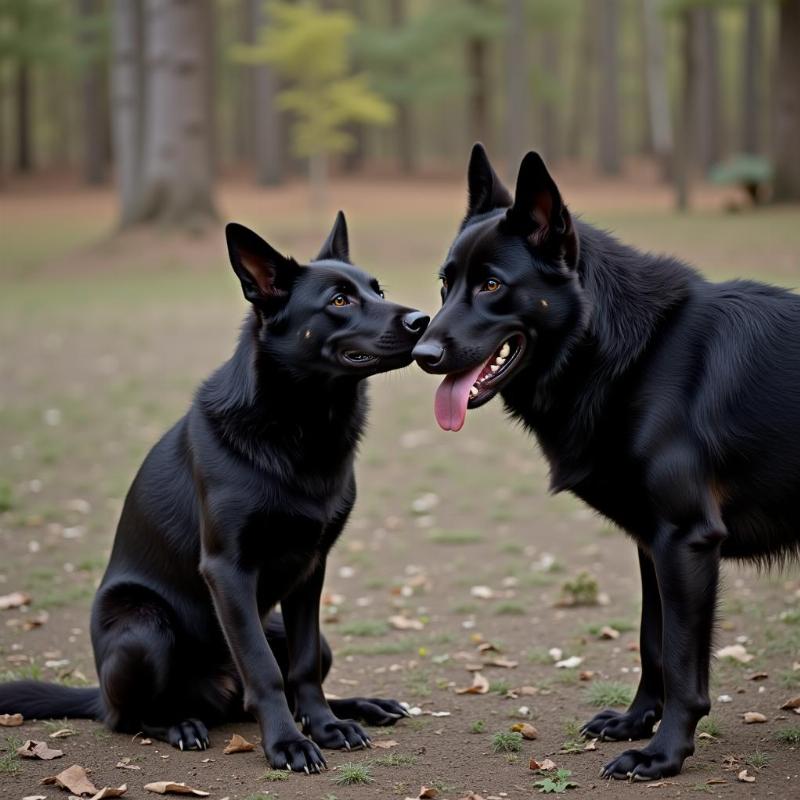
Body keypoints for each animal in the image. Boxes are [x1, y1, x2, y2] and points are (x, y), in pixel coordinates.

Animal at [0, 212, 428, 776]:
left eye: (378, 290)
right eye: (339, 300)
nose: (424, 319)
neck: (302, 426)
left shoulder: (311, 570)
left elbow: (303, 667)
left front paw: (326, 726)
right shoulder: (228, 569)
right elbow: (264, 672)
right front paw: (288, 744)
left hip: (284, 628)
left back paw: (361, 706)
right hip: (145, 629)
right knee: (128, 717)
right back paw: (179, 725)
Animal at [412, 145, 800, 780]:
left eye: (492, 285)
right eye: (446, 284)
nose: (420, 353)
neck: (633, 350)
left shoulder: (685, 541)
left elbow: (681, 660)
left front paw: (665, 752)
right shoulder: (653, 544)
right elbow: (652, 641)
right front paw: (636, 721)